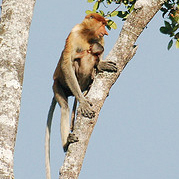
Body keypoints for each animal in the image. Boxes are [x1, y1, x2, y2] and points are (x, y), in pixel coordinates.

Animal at [45, 12, 117, 179]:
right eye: (102, 24)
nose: (106, 32)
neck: (87, 34)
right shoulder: (74, 34)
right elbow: (67, 63)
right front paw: (83, 103)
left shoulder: (99, 40)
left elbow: (99, 53)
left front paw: (102, 64)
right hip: (58, 85)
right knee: (65, 107)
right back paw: (67, 143)